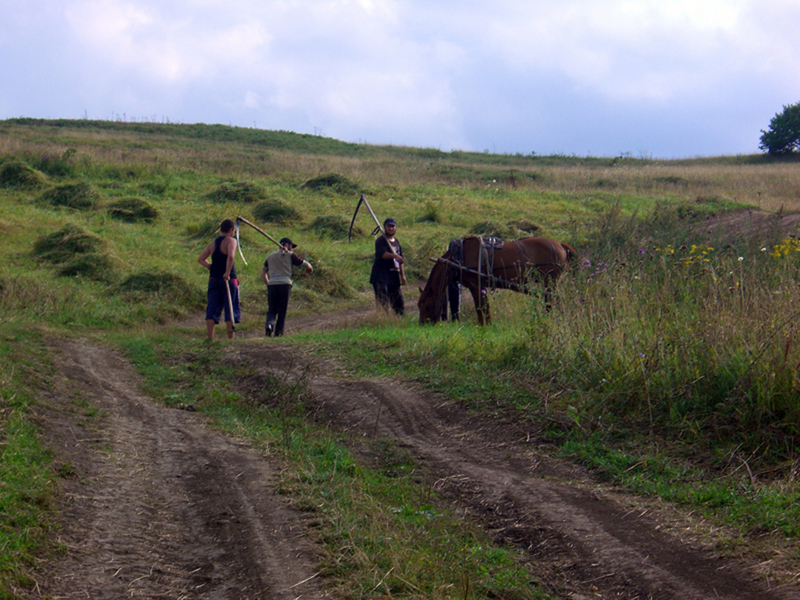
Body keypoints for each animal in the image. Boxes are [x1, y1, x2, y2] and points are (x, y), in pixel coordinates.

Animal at [418, 237, 576, 326]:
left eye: (427, 306)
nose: (422, 324)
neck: (458, 257)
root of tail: (560, 245)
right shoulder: (476, 286)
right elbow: (481, 307)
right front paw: (484, 324)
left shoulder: (477, 285)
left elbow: (482, 306)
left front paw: (486, 325)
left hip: (550, 280)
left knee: (550, 301)